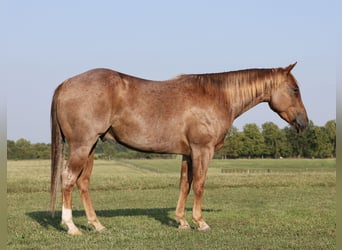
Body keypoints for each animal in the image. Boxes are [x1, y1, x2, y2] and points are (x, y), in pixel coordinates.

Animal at [51, 62, 310, 234]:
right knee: (68, 178)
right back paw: (71, 226)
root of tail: (65, 84)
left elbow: (185, 184)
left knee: (83, 182)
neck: (217, 96)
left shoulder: (187, 154)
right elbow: (199, 185)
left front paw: (182, 221)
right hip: (82, 146)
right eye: (295, 90)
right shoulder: (203, 150)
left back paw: (97, 225)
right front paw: (200, 222)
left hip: (91, 147)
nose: (304, 122)